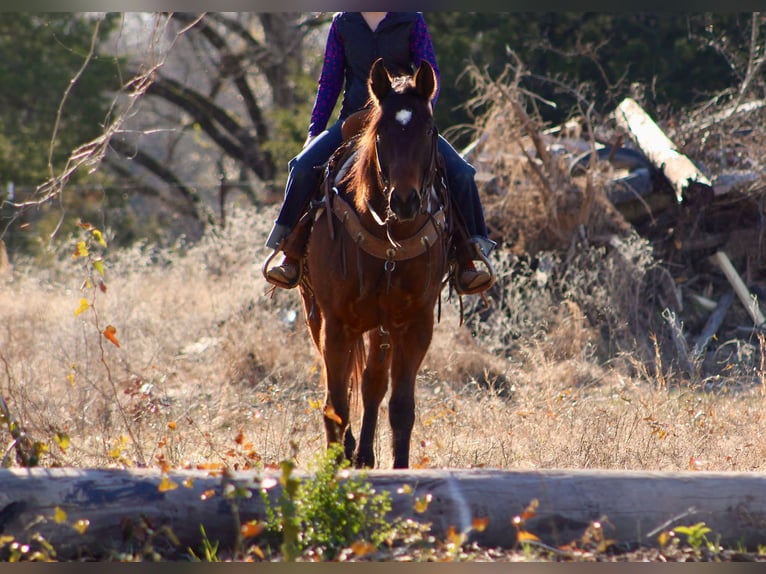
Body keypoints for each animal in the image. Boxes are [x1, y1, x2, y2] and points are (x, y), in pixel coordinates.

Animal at [296, 58, 450, 470]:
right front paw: (337, 461)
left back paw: (364, 454)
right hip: (318, 316)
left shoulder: (415, 325)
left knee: (372, 383)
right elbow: (335, 404)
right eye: (380, 132)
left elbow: (400, 407)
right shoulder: (335, 323)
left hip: (382, 328)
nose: (406, 201)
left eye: (429, 130)